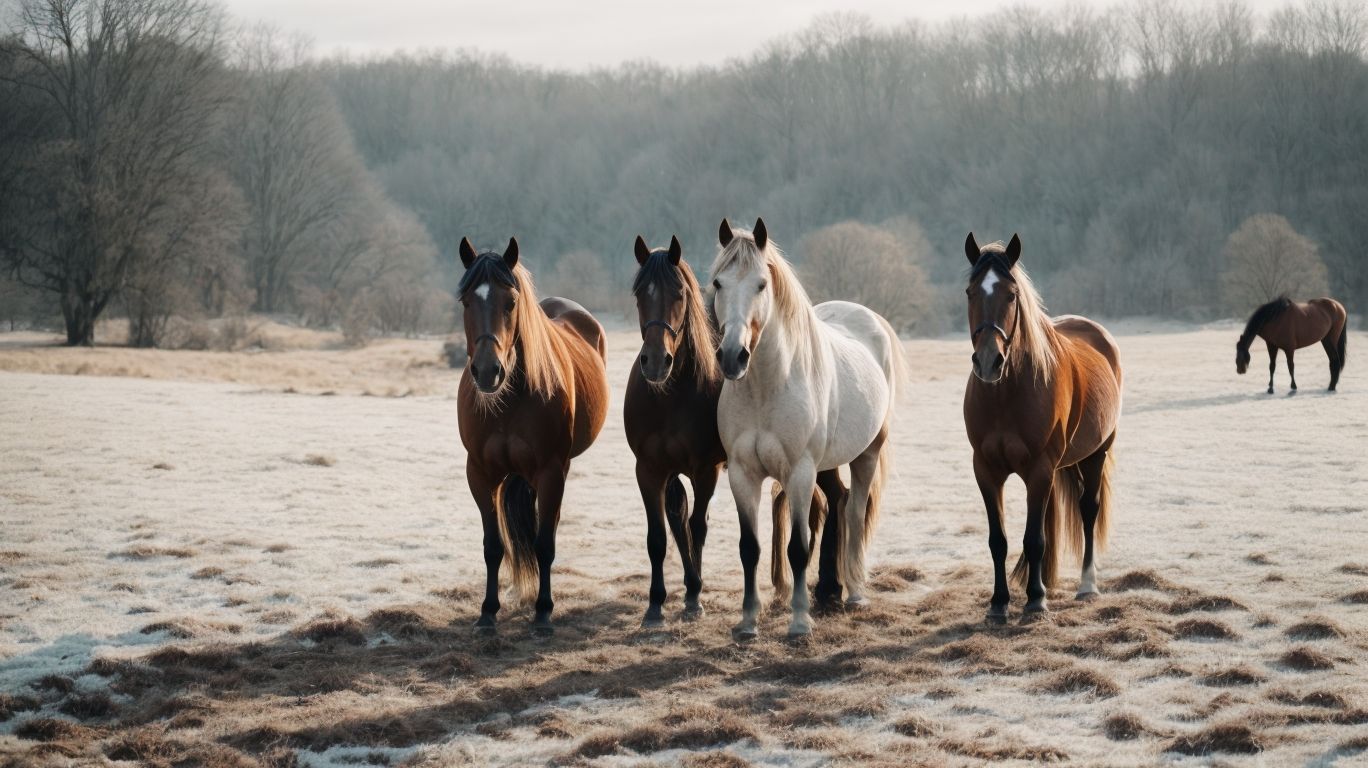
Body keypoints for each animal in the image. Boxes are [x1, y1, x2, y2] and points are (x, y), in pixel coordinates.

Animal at [456, 237, 609, 636]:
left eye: (511, 302)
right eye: (466, 301)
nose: (487, 371)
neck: (510, 399)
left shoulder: (550, 472)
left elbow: (543, 544)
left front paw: (543, 612)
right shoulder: (480, 474)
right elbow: (493, 546)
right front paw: (487, 613)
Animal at [623, 235, 726, 628]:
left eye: (679, 293)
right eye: (639, 293)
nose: (655, 362)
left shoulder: (706, 470)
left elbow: (698, 527)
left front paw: (694, 597)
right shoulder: (650, 470)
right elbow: (658, 536)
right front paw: (656, 605)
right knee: (677, 521)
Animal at [710, 218, 905, 639]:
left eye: (761, 284)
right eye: (718, 282)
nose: (733, 356)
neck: (768, 387)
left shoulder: (799, 473)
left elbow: (797, 549)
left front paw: (799, 622)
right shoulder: (742, 475)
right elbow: (749, 548)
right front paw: (747, 621)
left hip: (866, 454)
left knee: (855, 511)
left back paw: (854, 592)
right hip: (826, 464)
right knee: (839, 502)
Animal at [962, 233, 1122, 623]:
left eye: (1011, 294)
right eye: (971, 292)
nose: (988, 362)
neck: (1005, 395)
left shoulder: (1039, 469)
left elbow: (1034, 539)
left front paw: (1035, 600)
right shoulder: (985, 471)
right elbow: (999, 540)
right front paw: (999, 603)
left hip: (1096, 453)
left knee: (1088, 510)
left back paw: (1086, 584)